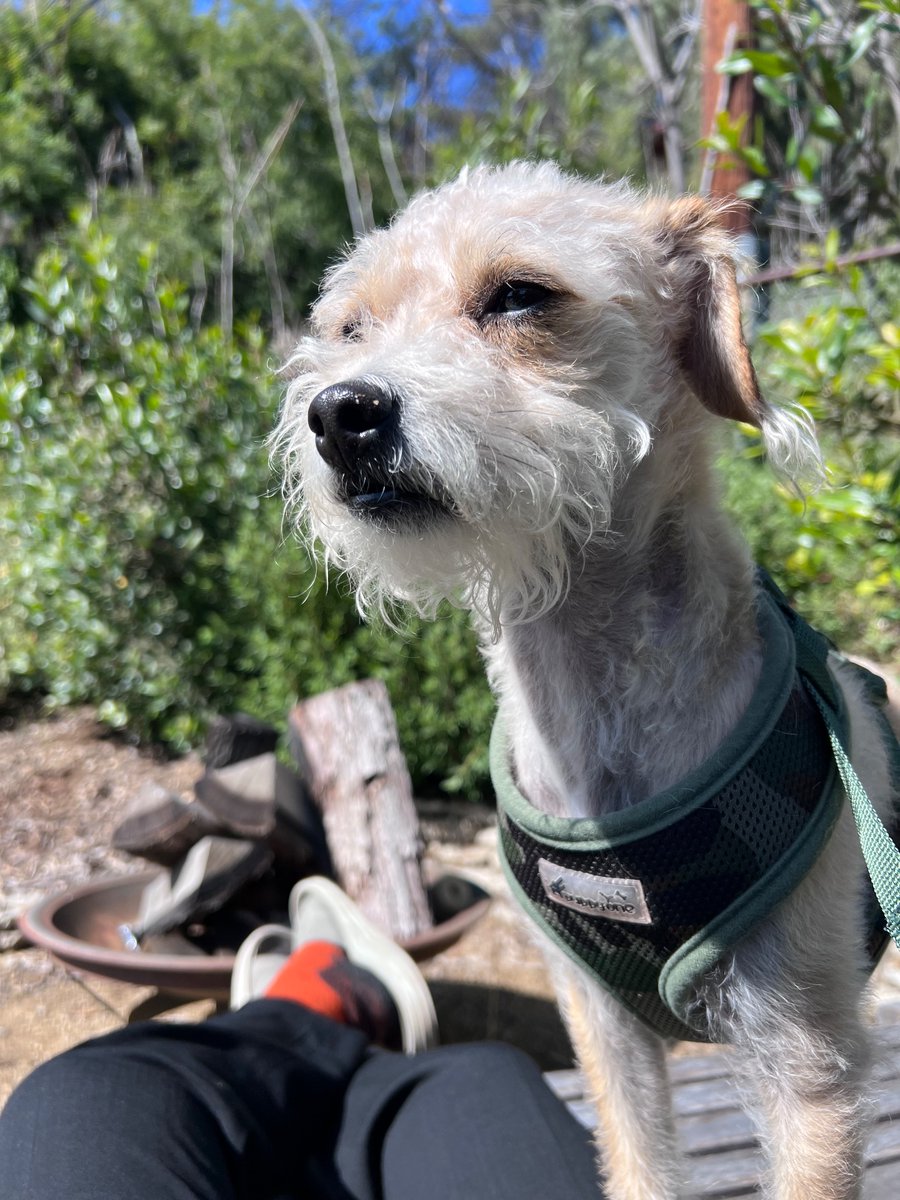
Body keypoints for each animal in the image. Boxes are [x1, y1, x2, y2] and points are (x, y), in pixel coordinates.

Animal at [277, 162, 900, 1200]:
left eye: (520, 295)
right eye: (351, 327)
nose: (340, 413)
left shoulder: (808, 1063)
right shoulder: (603, 1029)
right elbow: (639, 1165)